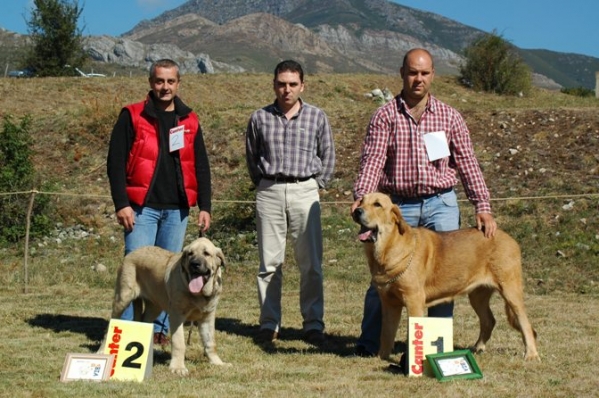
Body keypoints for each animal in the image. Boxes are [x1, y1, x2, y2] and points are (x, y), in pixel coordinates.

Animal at [98, 238, 230, 374]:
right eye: (190, 254)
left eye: (206, 253)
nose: (194, 264)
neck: (200, 294)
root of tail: (132, 253)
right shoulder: (177, 316)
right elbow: (179, 343)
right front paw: (178, 367)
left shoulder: (207, 318)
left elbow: (210, 343)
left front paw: (218, 363)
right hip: (122, 299)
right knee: (110, 326)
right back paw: (102, 351)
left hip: (155, 307)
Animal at [354, 192, 540, 360]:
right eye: (361, 201)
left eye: (377, 204)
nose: (357, 211)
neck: (387, 249)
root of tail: (509, 238)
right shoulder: (389, 302)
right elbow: (386, 333)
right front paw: (382, 357)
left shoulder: (413, 300)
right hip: (477, 295)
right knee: (489, 320)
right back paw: (477, 348)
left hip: (510, 291)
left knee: (525, 323)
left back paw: (531, 355)